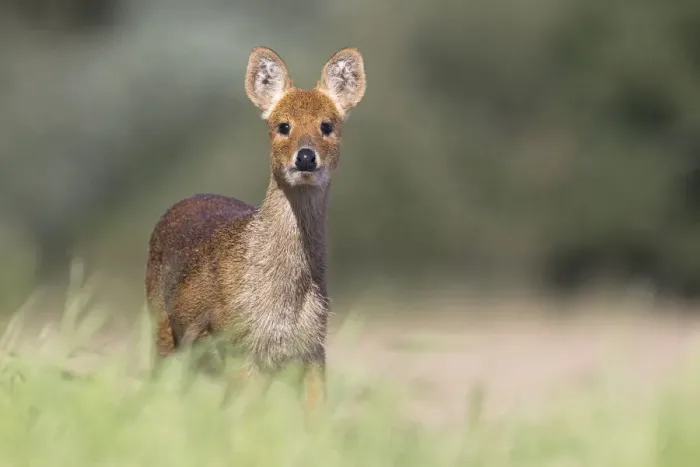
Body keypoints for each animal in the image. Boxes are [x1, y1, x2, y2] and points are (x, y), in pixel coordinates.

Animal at [144, 46, 366, 414]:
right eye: (283, 125)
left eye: (327, 125)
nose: (306, 157)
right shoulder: (241, 346)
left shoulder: (312, 348)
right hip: (161, 326)